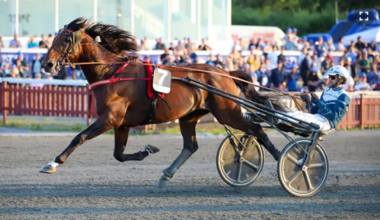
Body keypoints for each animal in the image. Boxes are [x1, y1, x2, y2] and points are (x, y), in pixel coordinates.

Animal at [40, 17, 286, 186]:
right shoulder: (122, 124)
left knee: (257, 130)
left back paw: (283, 160)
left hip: (228, 112)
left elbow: (79, 137)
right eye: (53, 38)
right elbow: (119, 155)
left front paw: (52, 163)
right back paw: (167, 173)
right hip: (190, 116)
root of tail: (225, 72)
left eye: (65, 39)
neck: (110, 72)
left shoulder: (111, 118)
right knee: (191, 145)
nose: (46, 65)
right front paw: (147, 150)